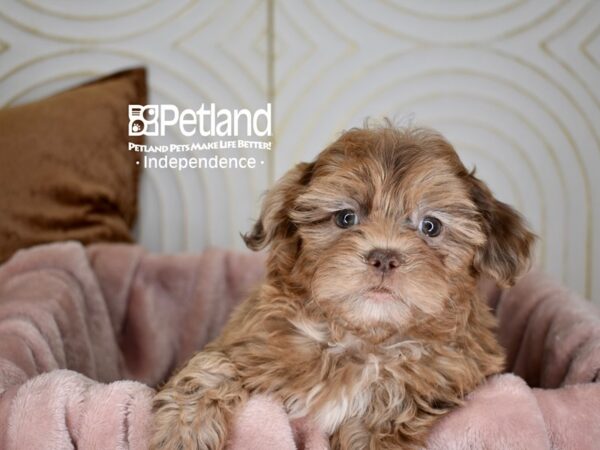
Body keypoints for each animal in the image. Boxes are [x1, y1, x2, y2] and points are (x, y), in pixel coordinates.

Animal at [150, 125, 536, 450]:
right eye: (346, 218)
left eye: (431, 226)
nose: (384, 257)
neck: (364, 338)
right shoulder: (250, 340)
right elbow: (213, 365)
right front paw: (182, 432)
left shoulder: (443, 376)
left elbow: (388, 415)